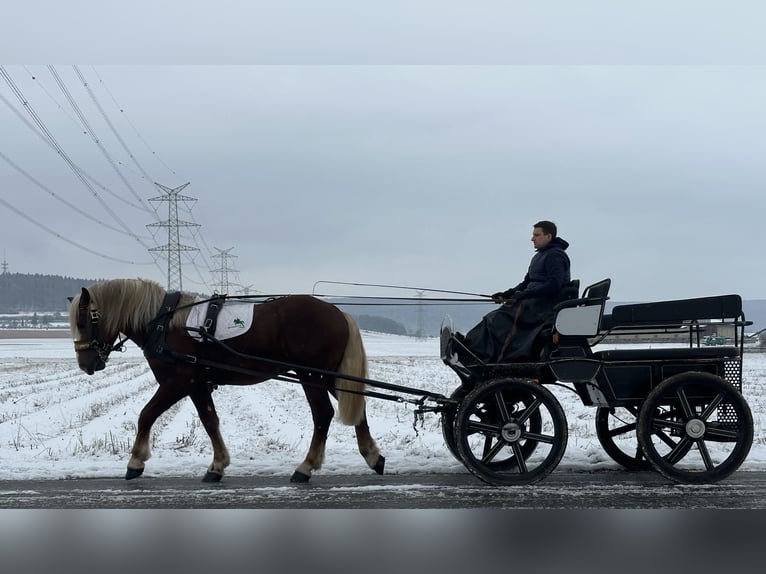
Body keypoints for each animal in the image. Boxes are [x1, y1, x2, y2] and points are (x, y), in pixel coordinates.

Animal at [67, 276, 384, 484]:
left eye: (84, 321)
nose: (86, 365)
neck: (164, 323)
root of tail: (338, 312)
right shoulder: (197, 384)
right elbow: (210, 421)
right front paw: (218, 465)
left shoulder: (177, 382)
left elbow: (146, 414)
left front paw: (135, 462)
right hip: (330, 377)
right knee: (357, 409)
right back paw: (373, 456)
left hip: (311, 375)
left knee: (322, 414)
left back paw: (305, 468)